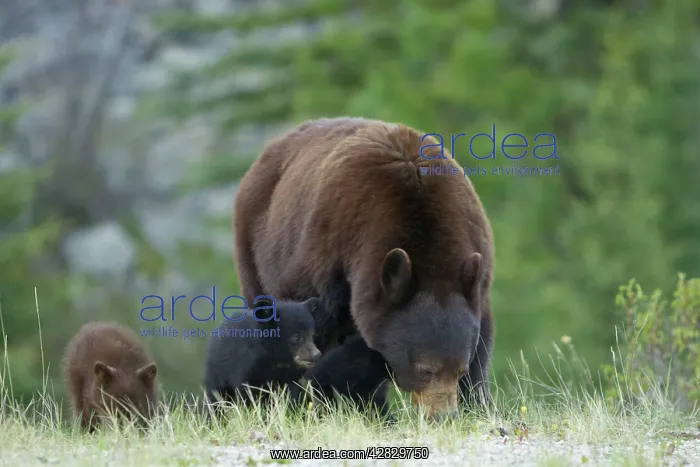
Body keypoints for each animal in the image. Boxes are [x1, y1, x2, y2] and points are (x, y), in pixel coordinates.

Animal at [233, 117, 495, 421]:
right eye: (425, 370)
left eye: (459, 369)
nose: (443, 416)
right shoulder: (326, 251)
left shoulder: (476, 265)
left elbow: (481, 342)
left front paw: (478, 404)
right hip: (256, 248)